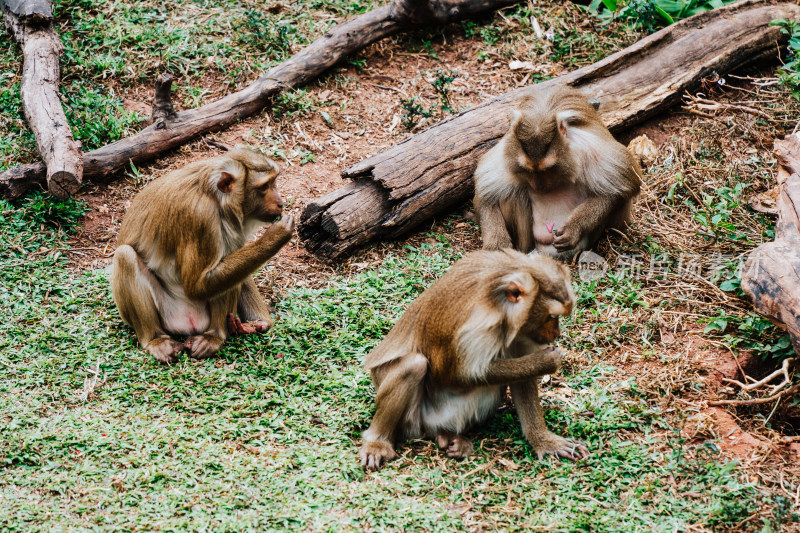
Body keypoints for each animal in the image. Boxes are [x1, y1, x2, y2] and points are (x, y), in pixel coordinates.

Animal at [111, 145, 296, 362]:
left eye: (273, 182)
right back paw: (161, 338)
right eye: (264, 187)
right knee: (125, 256)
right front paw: (275, 237)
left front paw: (260, 322)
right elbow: (196, 285)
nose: (281, 203)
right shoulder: (201, 218)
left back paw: (218, 334)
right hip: (169, 315)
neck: (216, 198)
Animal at [360, 249, 584, 470]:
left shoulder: (520, 331)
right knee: (413, 365)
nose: (556, 334)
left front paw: (544, 440)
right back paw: (378, 441)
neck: (499, 305)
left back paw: (452, 439)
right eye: (552, 317)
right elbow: (456, 374)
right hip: (411, 422)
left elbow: (521, 379)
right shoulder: (475, 327)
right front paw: (546, 361)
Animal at [472, 84, 640, 260]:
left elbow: (623, 187)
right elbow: (484, 197)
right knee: (512, 192)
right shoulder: (506, 155)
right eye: (527, 170)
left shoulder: (593, 150)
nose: (539, 187)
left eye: (549, 168)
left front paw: (574, 229)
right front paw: (497, 246)